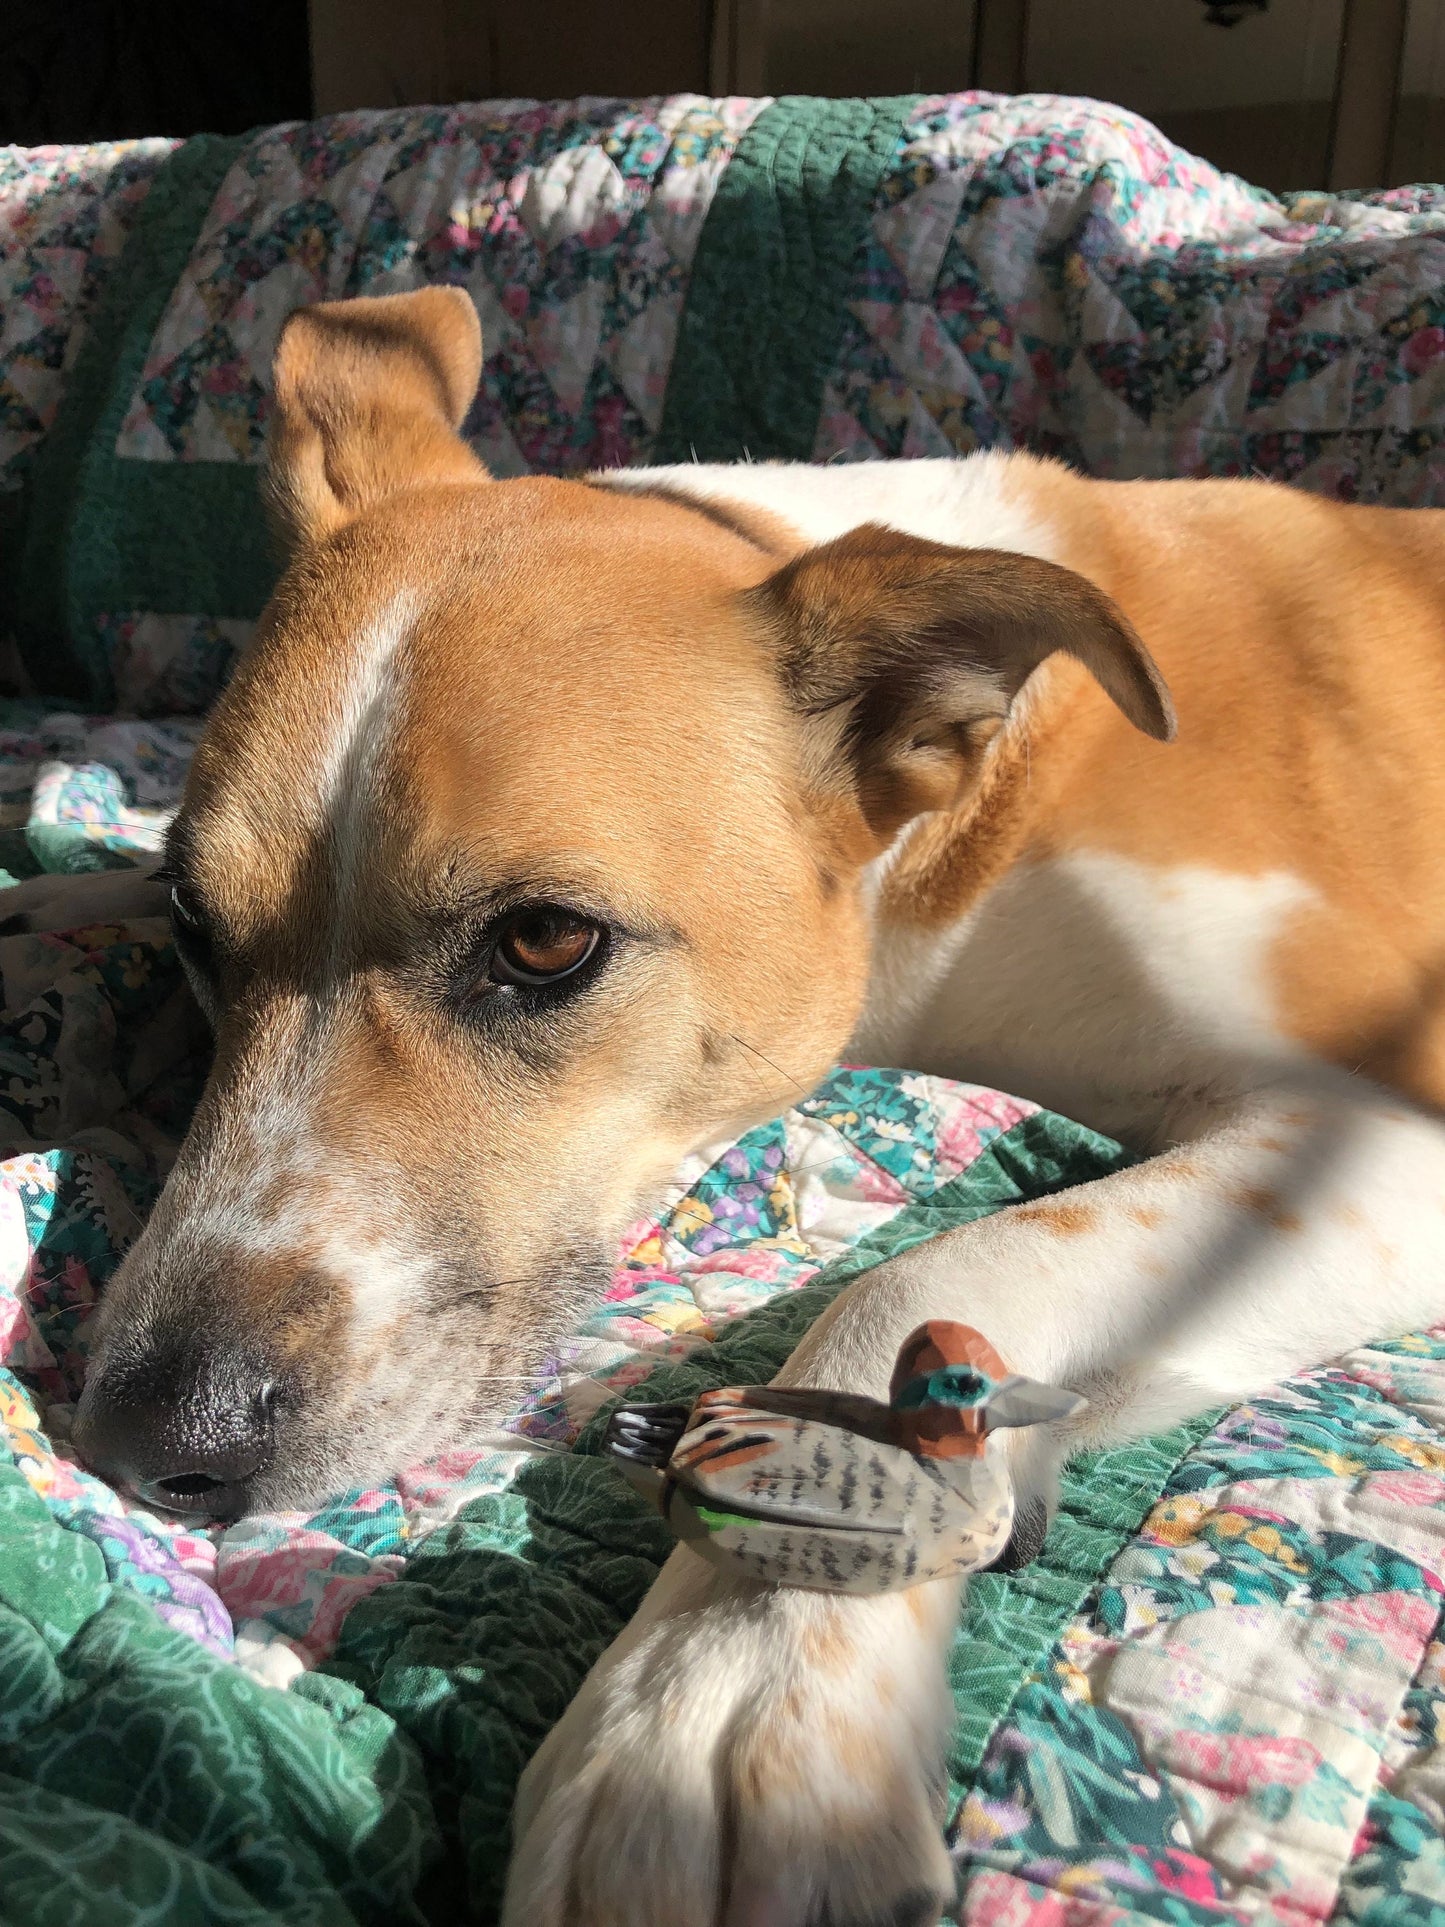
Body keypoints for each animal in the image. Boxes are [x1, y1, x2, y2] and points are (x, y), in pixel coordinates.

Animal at [45, 289, 1445, 1927]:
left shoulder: (1383, 1124)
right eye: (190, 923)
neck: (930, 850)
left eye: (544, 941)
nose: (145, 1434)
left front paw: (726, 1684)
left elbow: (929, 1267)